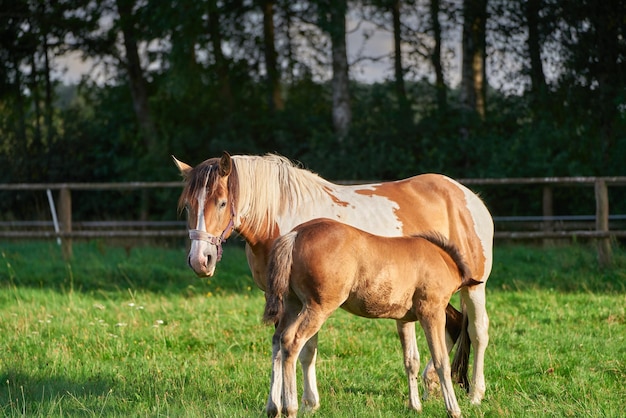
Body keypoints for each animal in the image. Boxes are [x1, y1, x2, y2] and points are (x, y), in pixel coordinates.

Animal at [260, 219, 480, 418]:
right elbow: (441, 361)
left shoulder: (405, 320)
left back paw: (273, 408)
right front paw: (454, 410)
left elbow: (411, 361)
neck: (440, 260)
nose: (465, 386)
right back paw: (290, 408)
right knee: (290, 341)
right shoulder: (432, 313)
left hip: (292, 305)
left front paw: (415, 406)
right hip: (317, 308)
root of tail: (296, 234)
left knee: (277, 341)